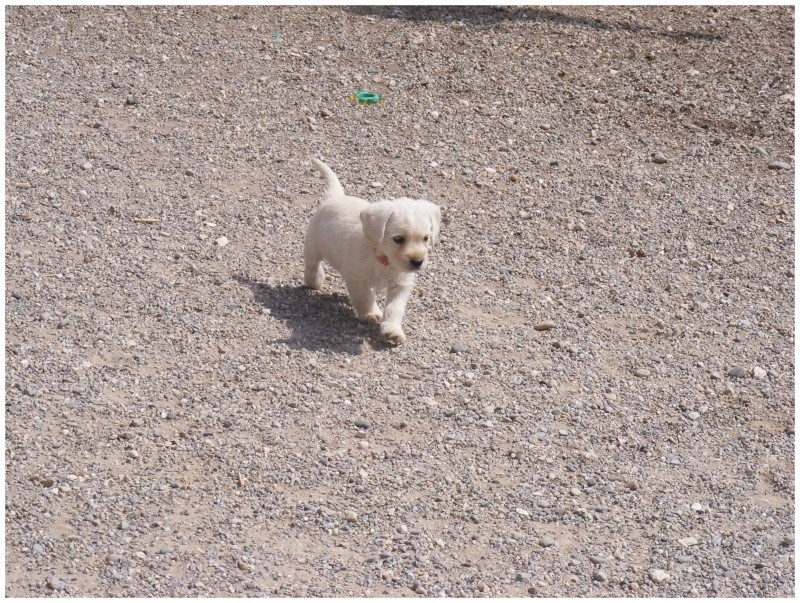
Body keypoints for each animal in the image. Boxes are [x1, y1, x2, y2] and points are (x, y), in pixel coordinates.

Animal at [304, 157, 440, 344]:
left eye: (426, 238)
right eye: (398, 239)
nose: (418, 262)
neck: (384, 260)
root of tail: (336, 197)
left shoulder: (401, 284)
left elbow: (395, 307)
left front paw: (392, 330)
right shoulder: (356, 278)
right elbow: (365, 297)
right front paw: (370, 313)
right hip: (313, 244)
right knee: (312, 263)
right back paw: (314, 279)